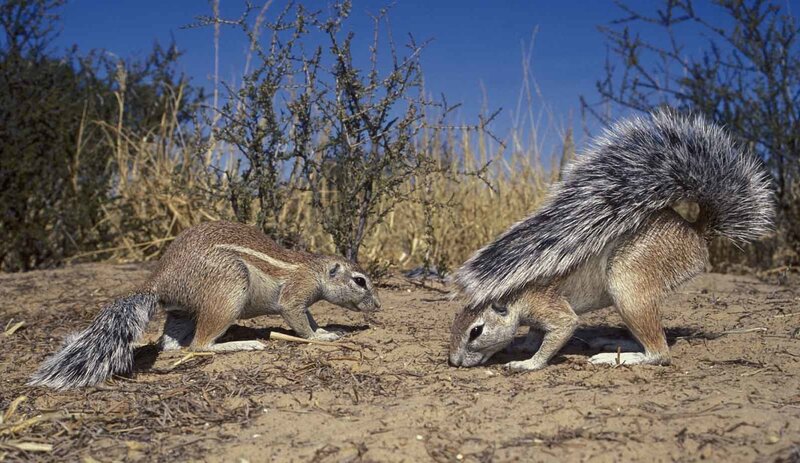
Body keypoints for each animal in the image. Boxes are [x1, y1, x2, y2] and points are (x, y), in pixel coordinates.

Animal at [29, 220, 381, 389]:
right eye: (360, 281)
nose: (377, 305)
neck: (313, 269)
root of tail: (160, 281)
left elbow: (310, 317)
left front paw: (324, 329)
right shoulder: (295, 296)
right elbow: (298, 320)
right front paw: (321, 337)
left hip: (181, 311)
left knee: (171, 345)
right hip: (229, 290)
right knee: (199, 345)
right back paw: (244, 344)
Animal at [448, 109, 774, 371]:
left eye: (476, 331)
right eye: (455, 322)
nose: (453, 361)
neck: (514, 294)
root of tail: (696, 231)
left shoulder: (547, 305)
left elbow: (562, 330)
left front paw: (527, 364)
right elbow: (533, 337)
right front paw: (521, 347)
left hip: (628, 280)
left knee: (660, 353)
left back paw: (620, 357)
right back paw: (615, 343)